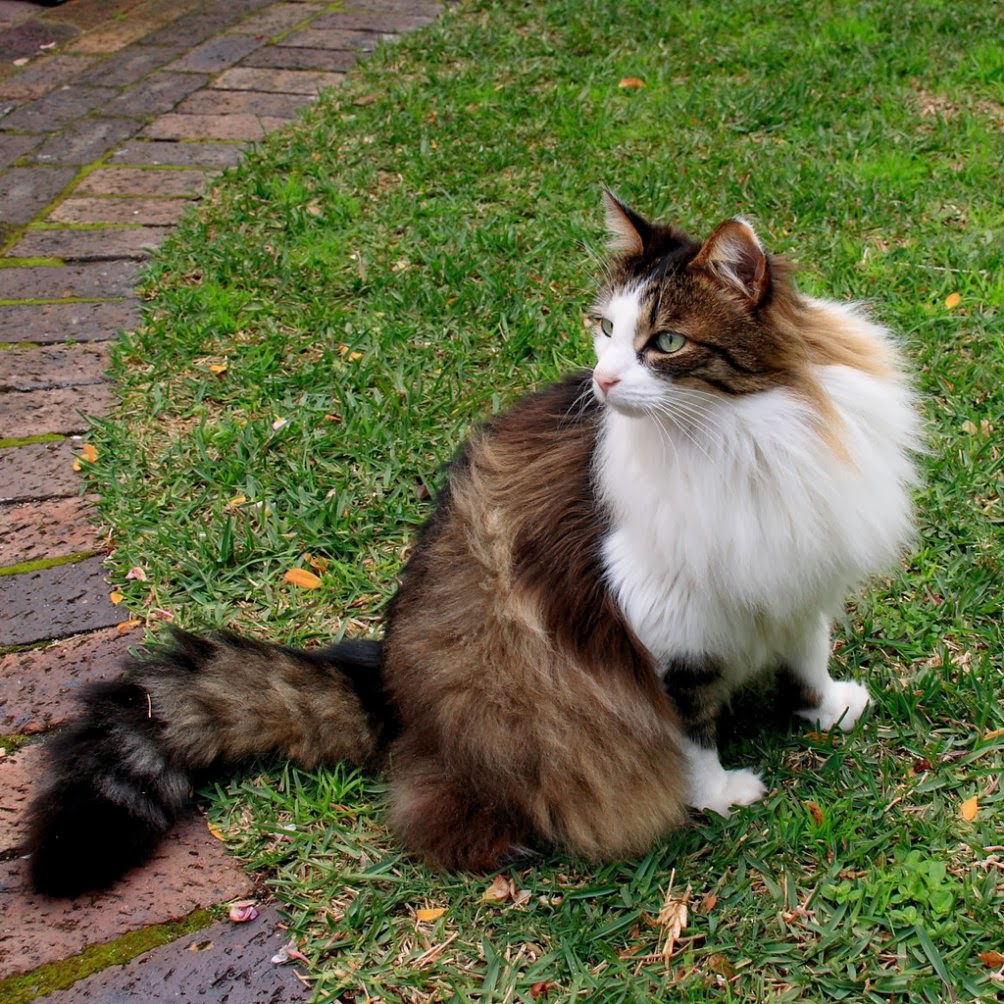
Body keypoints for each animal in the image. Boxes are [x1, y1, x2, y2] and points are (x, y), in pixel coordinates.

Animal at [23, 193, 919, 895]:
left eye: (664, 343)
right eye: (604, 329)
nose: (603, 382)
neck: (749, 431)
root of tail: (387, 689)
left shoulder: (797, 572)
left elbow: (806, 652)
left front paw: (824, 705)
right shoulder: (669, 625)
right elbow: (689, 728)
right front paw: (718, 792)